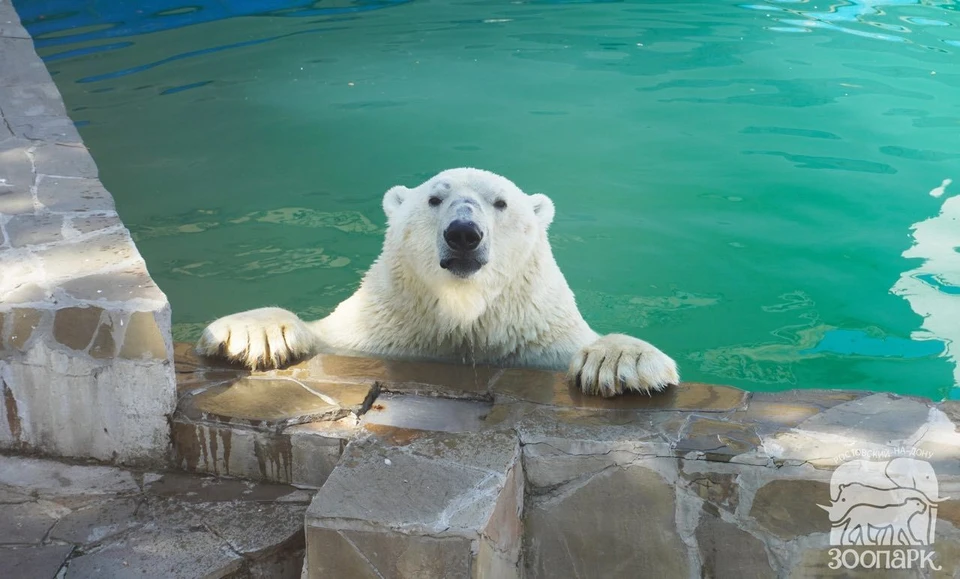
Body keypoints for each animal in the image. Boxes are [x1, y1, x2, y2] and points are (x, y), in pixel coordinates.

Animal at [195, 165, 680, 396]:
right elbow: (323, 334)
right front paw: (250, 333)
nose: (463, 233)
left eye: (500, 203)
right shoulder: (378, 330)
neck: (462, 316)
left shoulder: (537, 340)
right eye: (434, 198)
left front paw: (621, 361)